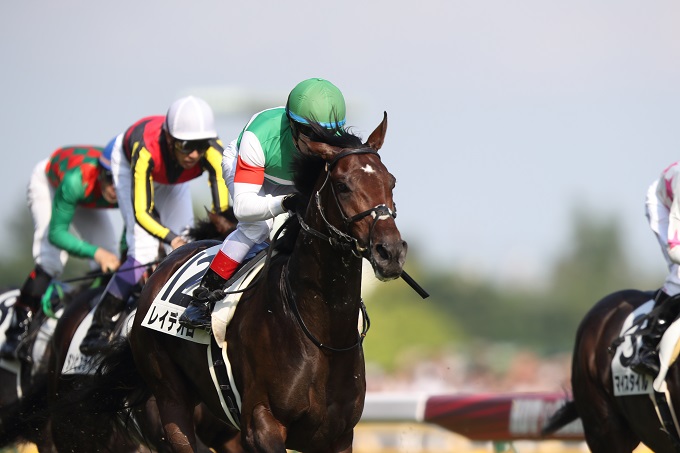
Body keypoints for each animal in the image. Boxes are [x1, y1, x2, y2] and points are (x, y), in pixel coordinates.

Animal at [59, 112, 407, 452]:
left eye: (391, 182)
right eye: (343, 185)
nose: (390, 251)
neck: (319, 334)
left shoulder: (337, 436)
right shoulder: (261, 426)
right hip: (170, 402)